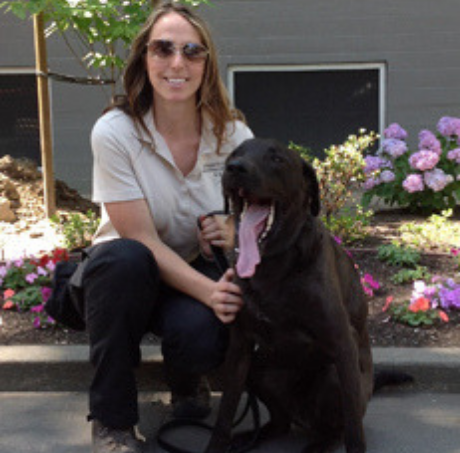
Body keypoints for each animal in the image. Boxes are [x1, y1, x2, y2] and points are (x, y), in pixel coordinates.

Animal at [207, 138, 376, 452]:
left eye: (277, 159)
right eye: (234, 154)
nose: (234, 168)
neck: (271, 266)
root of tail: (302, 416)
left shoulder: (342, 343)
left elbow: (353, 430)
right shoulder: (240, 348)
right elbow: (224, 414)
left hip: (332, 378)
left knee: (334, 428)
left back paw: (317, 445)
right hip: (259, 370)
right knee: (280, 421)